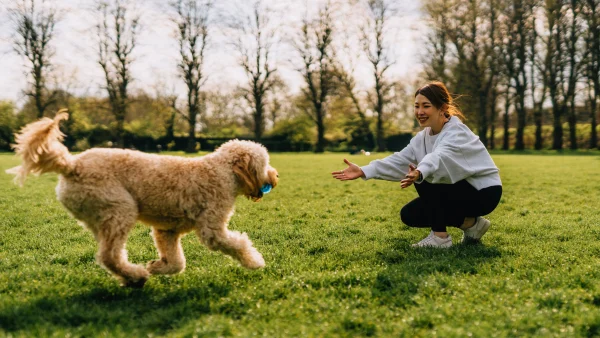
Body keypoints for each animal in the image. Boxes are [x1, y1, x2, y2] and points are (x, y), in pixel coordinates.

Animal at [7, 110, 278, 288]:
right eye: (265, 163)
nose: (275, 177)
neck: (222, 171)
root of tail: (71, 165)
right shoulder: (212, 229)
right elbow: (237, 244)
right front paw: (254, 262)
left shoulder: (167, 231)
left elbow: (176, 262)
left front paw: (157, 266)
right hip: (120, 210)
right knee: (109, 256)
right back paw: (136, 276)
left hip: (101, 219)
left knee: (107, 256)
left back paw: (131, 277)